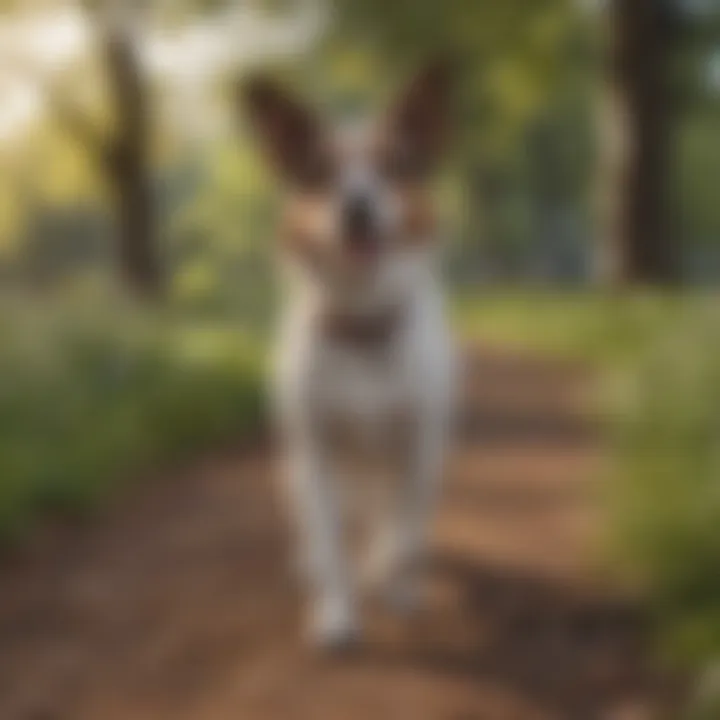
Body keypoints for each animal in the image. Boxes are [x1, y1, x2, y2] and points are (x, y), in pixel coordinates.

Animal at [242, 60, 456, 648]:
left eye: (393, 166)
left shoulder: (414, 446)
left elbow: (402, 536)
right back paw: (315, 564)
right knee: (322, 528)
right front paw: (337, 614)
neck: (362, 326)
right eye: (317, 172)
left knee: (393, 522)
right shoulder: (316, 451)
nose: (356, 206)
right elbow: (332, 541)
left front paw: (395, 587)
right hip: (298, 469)